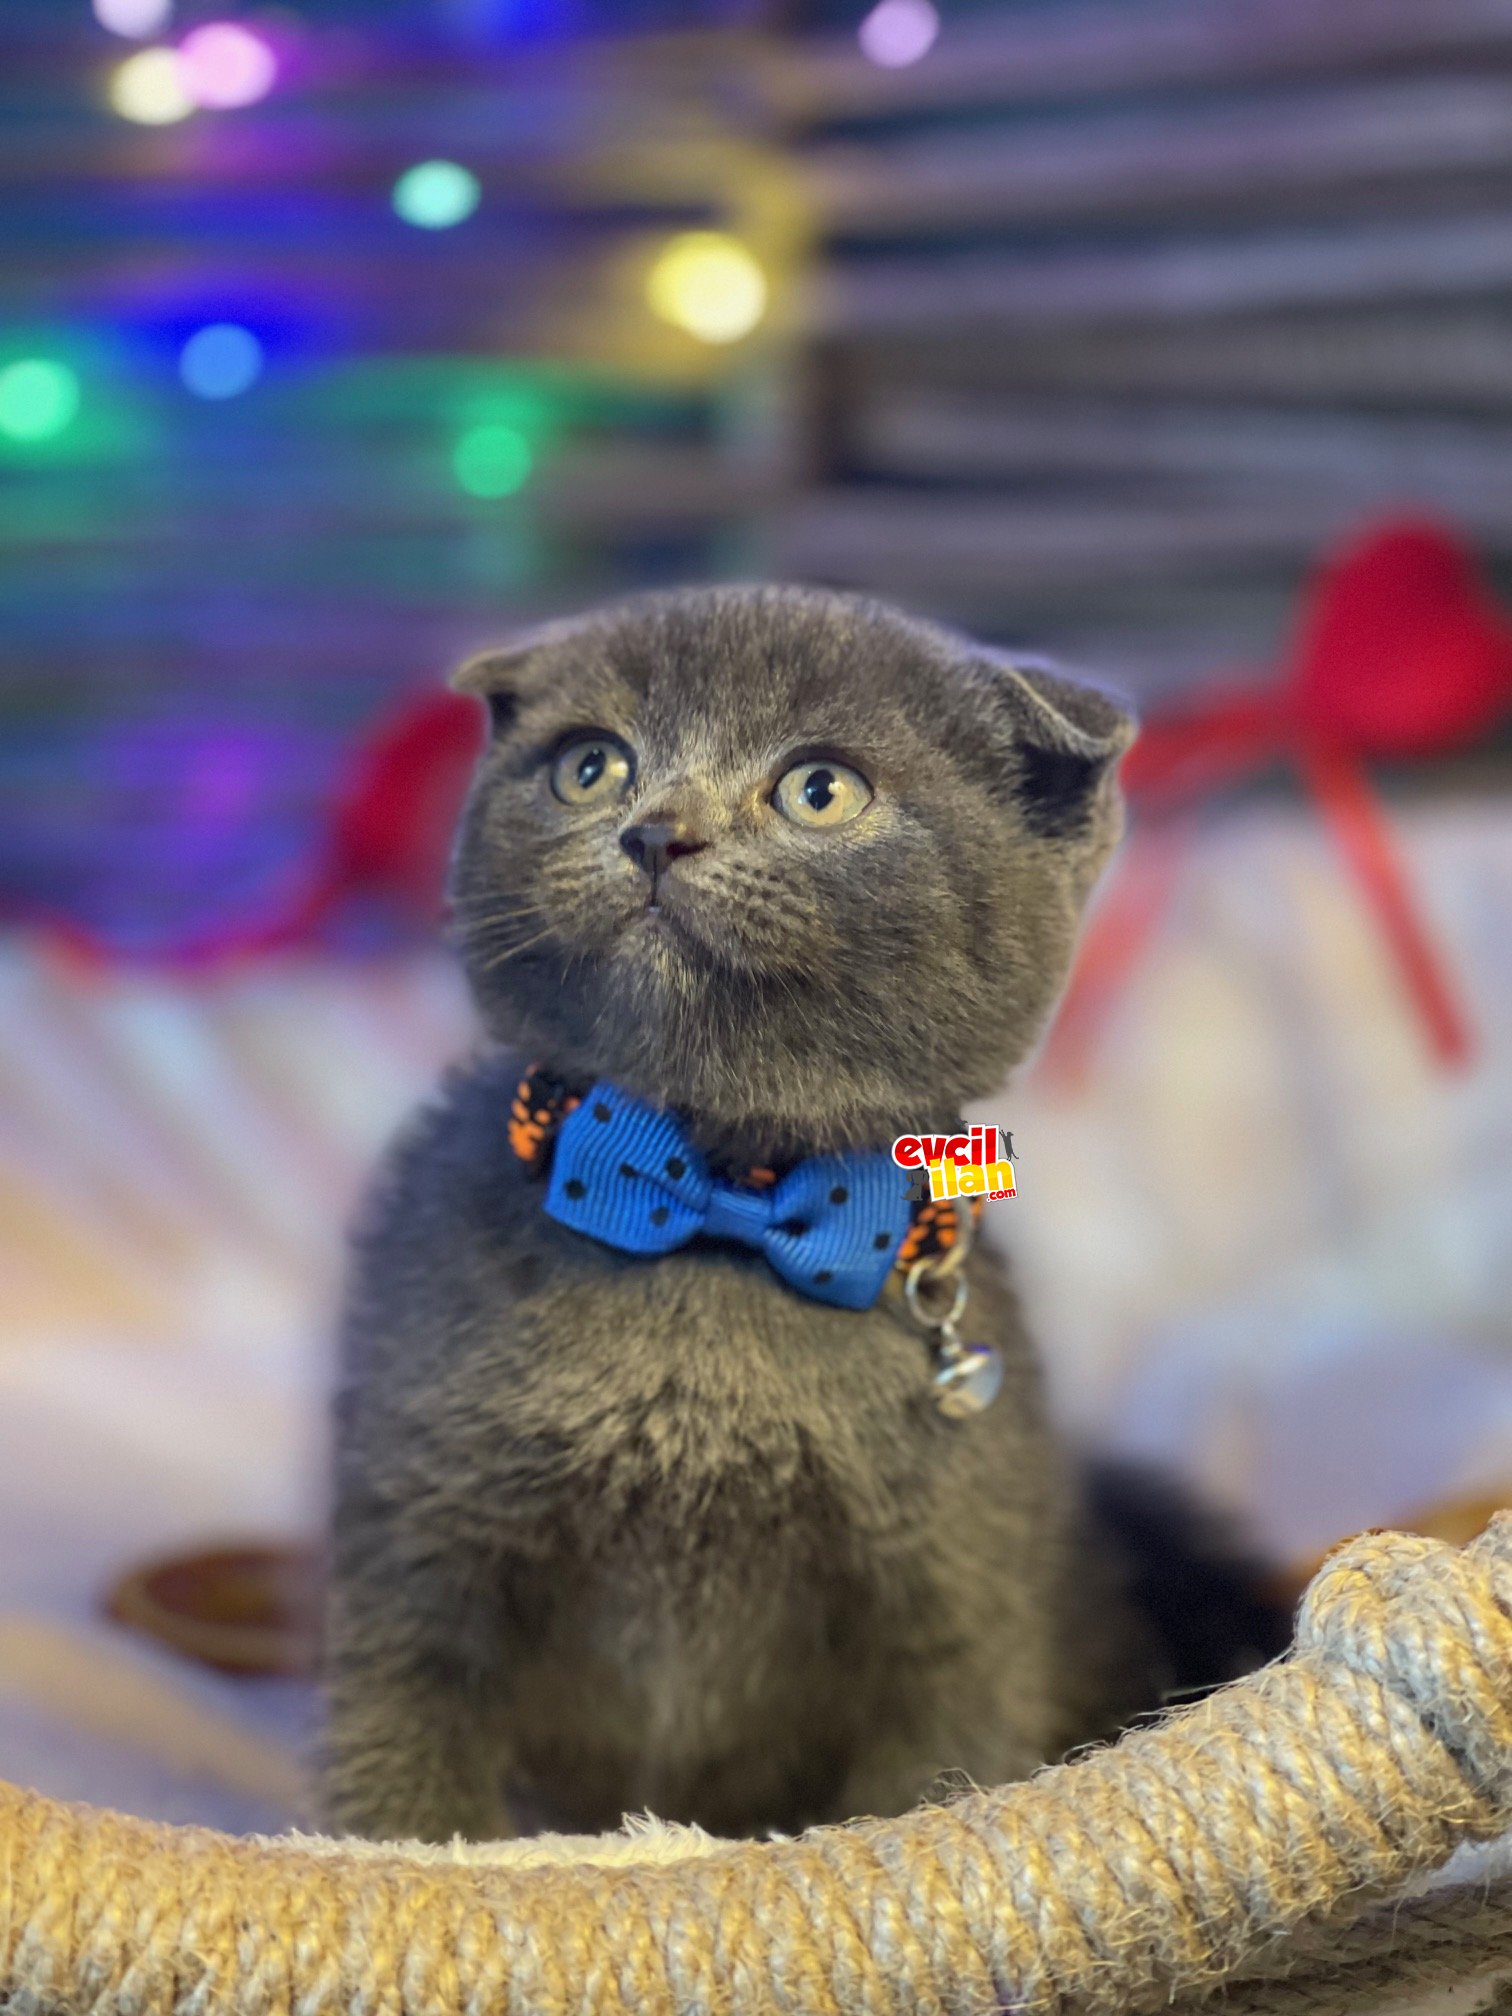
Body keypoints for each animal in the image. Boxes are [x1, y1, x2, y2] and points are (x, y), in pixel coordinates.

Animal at [326, 584, 1274, 1846]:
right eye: (589, 766)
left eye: (820, 790)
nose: (655, 832)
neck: (718, 1202)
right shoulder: (416, 1544)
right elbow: (402, 1783)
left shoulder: (955, 1611)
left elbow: (923, 1794)